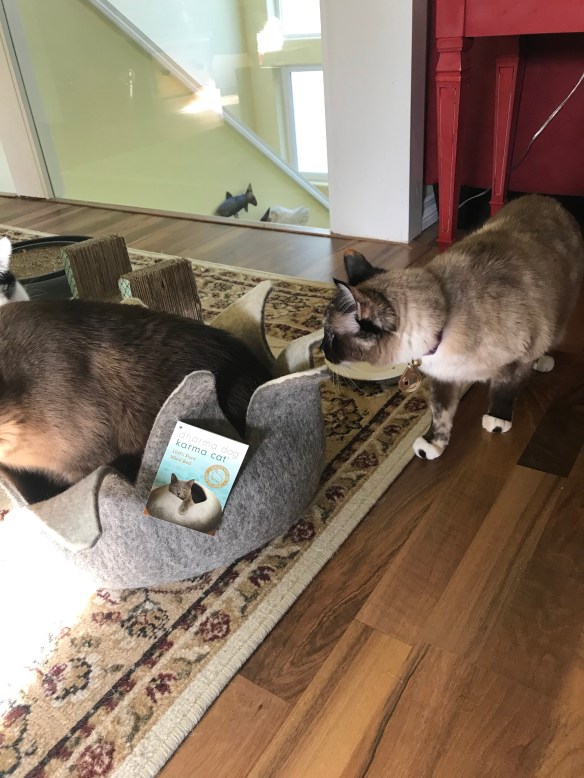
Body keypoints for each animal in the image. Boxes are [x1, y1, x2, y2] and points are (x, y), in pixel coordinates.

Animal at [321, 194, 584, 460]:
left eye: (331, 336)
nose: (322, 349)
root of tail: (545, 199)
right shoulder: (443, 376)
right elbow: (441, 413)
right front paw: (432, 444)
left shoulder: (516, 360)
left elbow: (504, 390)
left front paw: (497, 420)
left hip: (557, 316)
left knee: (549, 340)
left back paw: (542, 361)